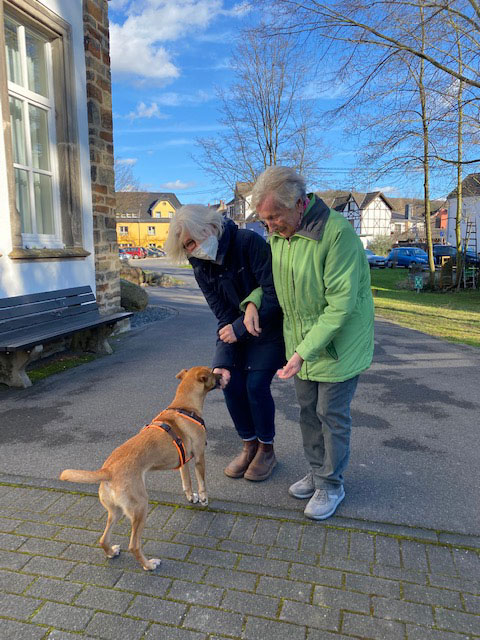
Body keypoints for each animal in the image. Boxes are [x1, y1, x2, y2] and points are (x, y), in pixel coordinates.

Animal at [60, 366, 221, 570]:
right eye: (211, 372)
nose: (222, 374)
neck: (184, 406)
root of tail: (108, 471)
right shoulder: (199, 457)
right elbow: (201, 483)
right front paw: (204, 499)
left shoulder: (183, 461)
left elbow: (187, 482)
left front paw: (191, 497)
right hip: (140, 508)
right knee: (134, 545)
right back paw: (149, 564)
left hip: (115, 512)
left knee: (103, 539)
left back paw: (111, 552)